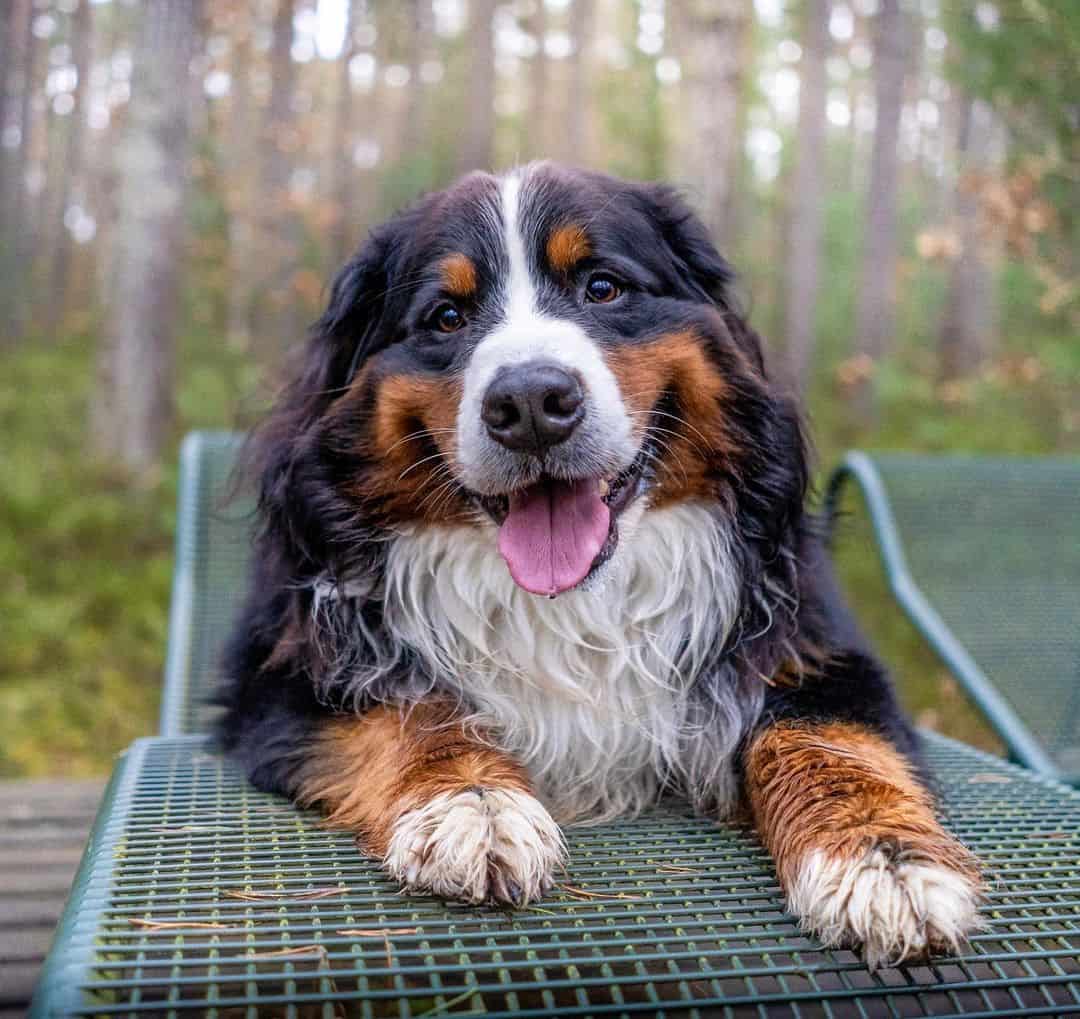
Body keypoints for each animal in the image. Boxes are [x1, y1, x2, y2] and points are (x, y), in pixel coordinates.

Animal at [217, 162, 980, 967]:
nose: (530, 402)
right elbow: (411, 710)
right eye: (446, 318)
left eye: (603, 287)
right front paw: (473, 803)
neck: (572, 601)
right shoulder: (286, 674)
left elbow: (826, 738)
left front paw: (882, 858)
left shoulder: (814, 648)